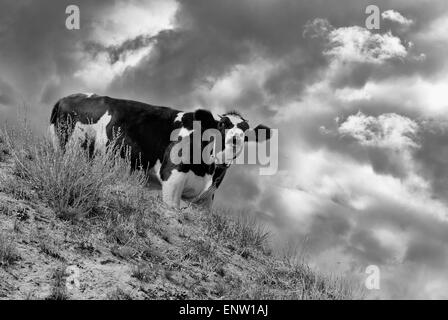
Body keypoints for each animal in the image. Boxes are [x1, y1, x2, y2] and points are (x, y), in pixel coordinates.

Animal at [50, 92, 272, 208]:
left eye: (246, 133)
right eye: (222, 125)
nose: (235, 140)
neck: (210, 169)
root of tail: (66, 98)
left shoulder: (207, 199)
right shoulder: (172, 178)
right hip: (71, 145)